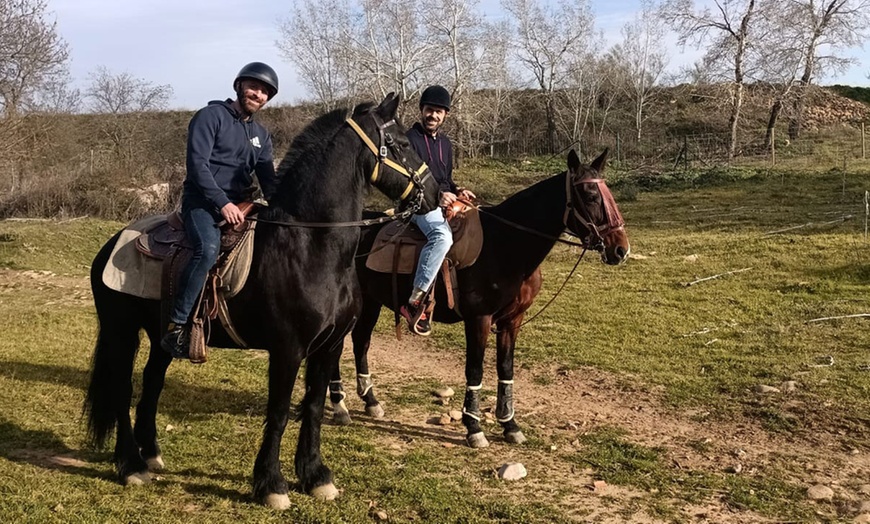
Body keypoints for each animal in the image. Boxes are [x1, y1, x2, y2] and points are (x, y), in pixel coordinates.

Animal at [84, 94, 440, 508]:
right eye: (401, 143)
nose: (435, 194)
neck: (311, 244)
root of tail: (112, 243)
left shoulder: (329, 347)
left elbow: (314, 407)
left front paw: (315, 476)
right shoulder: (287, 348)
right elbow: (280, 411)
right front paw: (271, 483)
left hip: (162, 339)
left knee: (152, 383)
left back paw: (151, 453)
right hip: (120, 331)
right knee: (122, 388)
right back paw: (131, 464)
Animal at [330, 147, 632, 446]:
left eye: (608, 194)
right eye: (591, 196)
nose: (621, 250)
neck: (505, 245)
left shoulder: (512, 321)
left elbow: (506, 369)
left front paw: (510, 425)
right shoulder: (479, 319)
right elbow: (474, 369)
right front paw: (474, 427)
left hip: (371, 302)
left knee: (361, 343)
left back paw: (370, 400)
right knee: (337, 346)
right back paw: (339, 405)